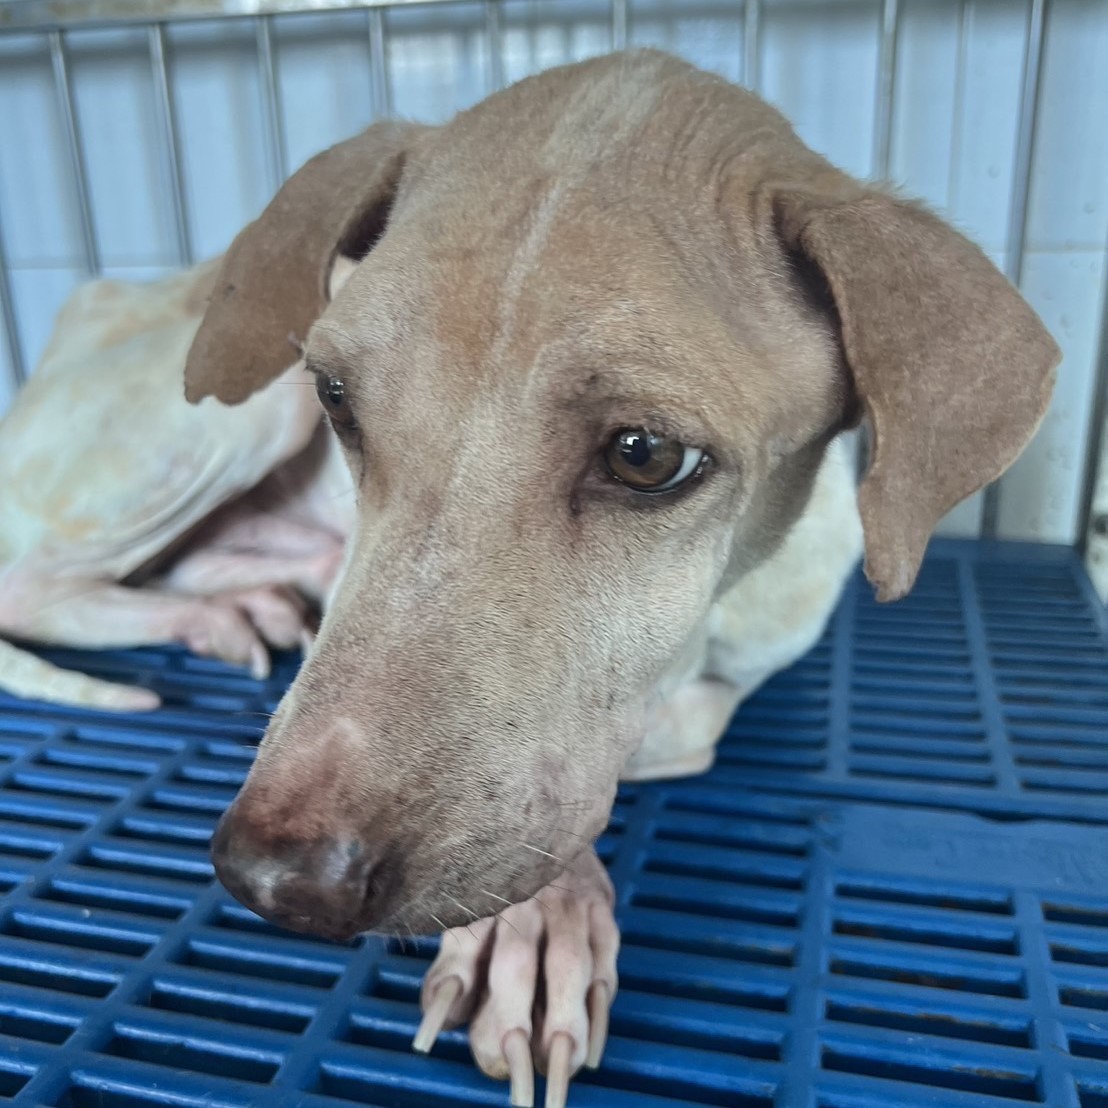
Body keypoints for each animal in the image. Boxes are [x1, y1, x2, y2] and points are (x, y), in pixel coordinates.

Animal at [3, 50, 1058, 1108]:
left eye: (647, 456)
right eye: (340, 397)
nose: (275, 879)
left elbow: (651, 734)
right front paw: (536, 920)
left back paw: (242, 603)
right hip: (235, 418)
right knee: (29, 585)